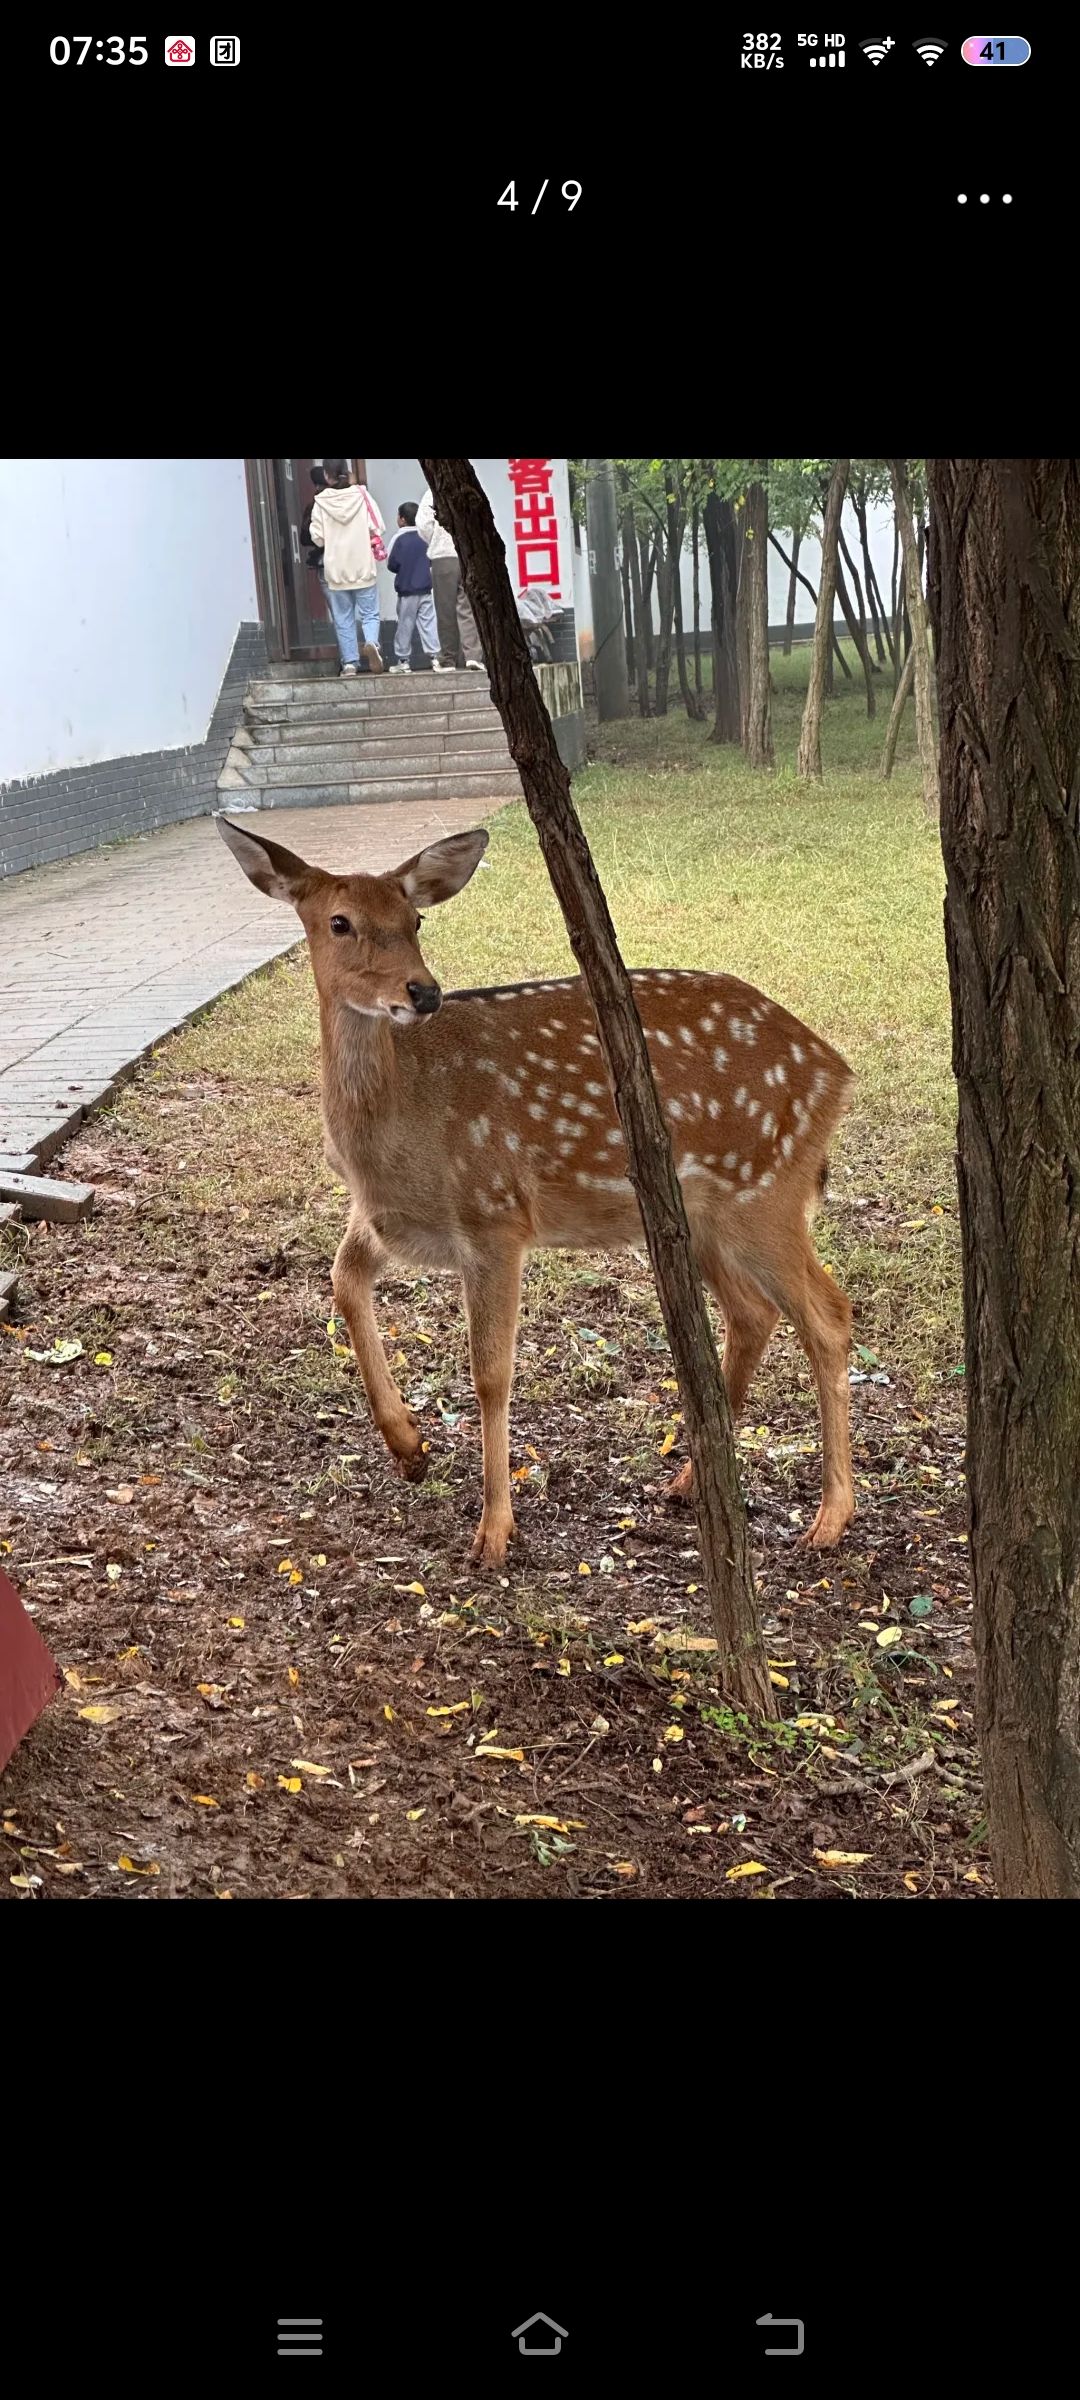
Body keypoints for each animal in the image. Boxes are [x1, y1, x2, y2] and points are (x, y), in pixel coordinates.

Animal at [217, 815, 856, 1568]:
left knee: (827, 1316)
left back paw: (831, 1516)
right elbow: (342, 1283)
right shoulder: (391, 1220)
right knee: (754, 1314)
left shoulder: (494, 1213)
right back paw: (688, 1482)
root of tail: (836, 1071)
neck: (393, 1135)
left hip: (767, 1188)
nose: (422, 992)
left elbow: (491, 1372)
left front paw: (494, 1529)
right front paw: (409, 1448)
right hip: (703, 1215)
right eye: (338, 921)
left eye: (415, 918)